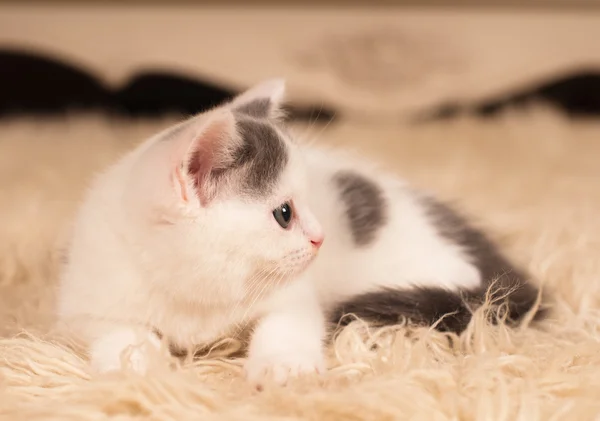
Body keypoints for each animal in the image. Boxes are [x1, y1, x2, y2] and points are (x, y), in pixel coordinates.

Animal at [58, 79, 548, 388]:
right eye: (284, 214)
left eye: (304, 204)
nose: (321, 237)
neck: (198, 289)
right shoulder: (87, 298)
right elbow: (115, 331)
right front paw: (136, 366)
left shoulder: (294, 294)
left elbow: (289, 323)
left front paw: (282, 368)